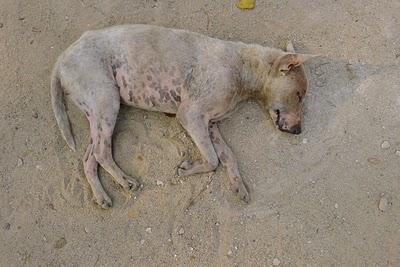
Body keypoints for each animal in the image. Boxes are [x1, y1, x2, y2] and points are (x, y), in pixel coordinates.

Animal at [50, 24, 316, 209]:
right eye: (299, 95)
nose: (299, 131)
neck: (243, 69)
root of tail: (62, 58)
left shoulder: (210, 124)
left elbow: (228, 156)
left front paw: (238, 184)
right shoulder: (190, 116)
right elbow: (212, 160)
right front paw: (186, 169)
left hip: (97, 113)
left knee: (88, 158)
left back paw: (101, 196)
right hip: (107, 102)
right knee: (101, 152)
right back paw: (125, 181)